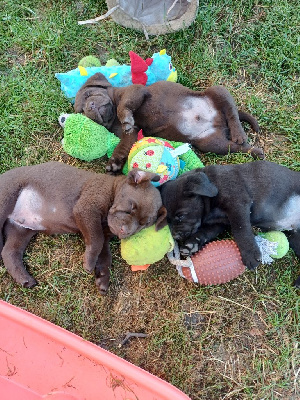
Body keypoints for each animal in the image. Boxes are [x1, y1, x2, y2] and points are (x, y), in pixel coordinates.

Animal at [0, 162, 166, 294]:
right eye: (130, 207)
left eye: (143, 225)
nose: (125, 232)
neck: (113, 190)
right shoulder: (87, 209)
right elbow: (96, 241)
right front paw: (89, 263)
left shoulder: (105, 235)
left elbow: (105, 256)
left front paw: (103, 278)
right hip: (7, 197)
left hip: (21, 231)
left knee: (9, 252)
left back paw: (25, 279)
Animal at [74, 72, 264, 173]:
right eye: (81, 112)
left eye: (88, 94)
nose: (90, 107)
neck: (113, 117)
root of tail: (219, 122)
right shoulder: (131, 134)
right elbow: (123, 146)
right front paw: (114, 163)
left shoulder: (136, 91)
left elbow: (124, 105)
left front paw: (125, 116)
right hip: (211, 143)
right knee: (234, 147)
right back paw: (254, 151)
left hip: (217, 91)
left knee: (232, 112)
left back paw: (239, 133)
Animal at [161, 160, 300, 288]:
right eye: (167, 221)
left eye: (180, 216)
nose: (176, 237)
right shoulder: (219, 224)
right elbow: (205, 232)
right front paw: (191, 245)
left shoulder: (237, 204)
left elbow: (241, 230)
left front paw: (250, 254)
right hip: (295, 238)